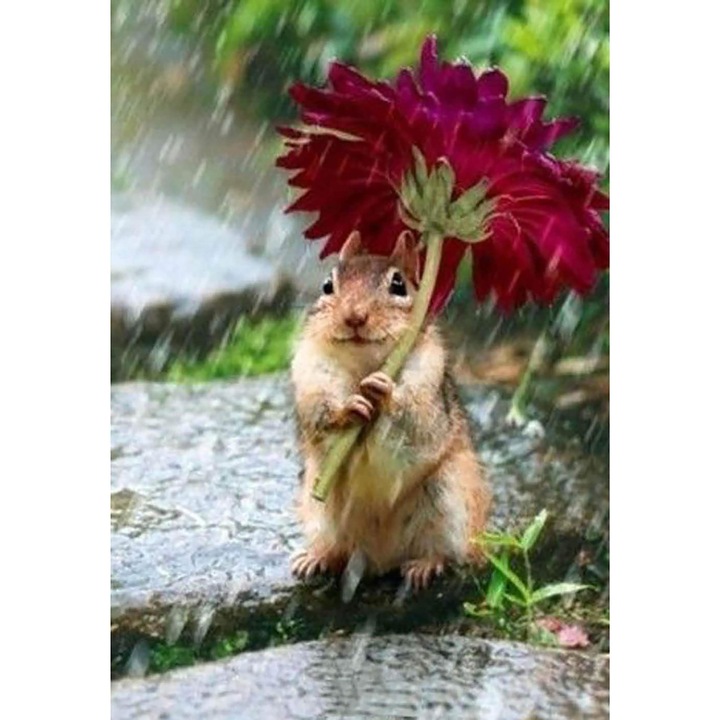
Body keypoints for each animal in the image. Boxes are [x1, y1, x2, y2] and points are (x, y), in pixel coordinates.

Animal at [290, 229, 491, 590]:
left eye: (399, 285)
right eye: (327, 285)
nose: (354, 317)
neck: (365, 365)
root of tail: (380, 558)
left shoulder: (428, 383)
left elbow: (416, 420)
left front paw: (384, 391)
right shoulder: (312, 376)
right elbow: (319, 415)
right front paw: (348, 408)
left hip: (449, 498)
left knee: (446, 551)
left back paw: (426, 565)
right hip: (320, 513)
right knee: (336, 549)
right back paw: (316, 558)